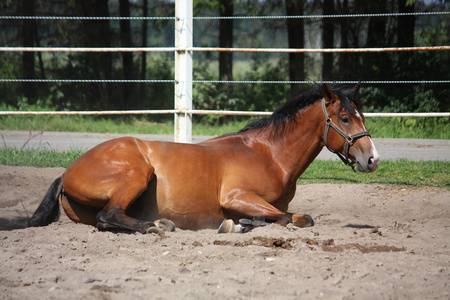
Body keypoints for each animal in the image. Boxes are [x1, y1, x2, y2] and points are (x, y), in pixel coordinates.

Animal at [0, 84, 380, 234]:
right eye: (345, 119)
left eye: (360, 115)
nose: (373, 159)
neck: (268, 154)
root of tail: (67, 172)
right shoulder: (237, 197)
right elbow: (294, 218)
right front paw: (238, 224)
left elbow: (287, 216)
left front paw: (242, 224)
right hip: (137, 174)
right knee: (110, 217)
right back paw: (157, 225)